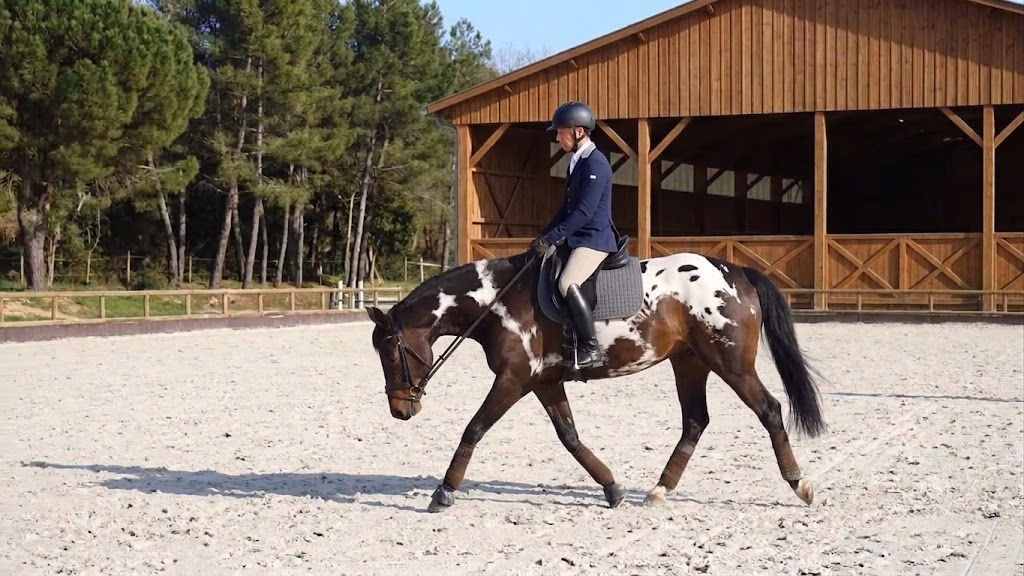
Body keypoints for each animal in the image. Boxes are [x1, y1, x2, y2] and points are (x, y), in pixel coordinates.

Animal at [365, 243, 827, 512]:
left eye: (389, 352)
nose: (400, 410)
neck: (496, 301)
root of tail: (738, 271)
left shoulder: (513, 379)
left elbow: (473, 428)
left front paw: (443, 491)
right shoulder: (543, 382)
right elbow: (570, 437)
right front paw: (612, 488)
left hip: (730, 364)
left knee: (769, 409)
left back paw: (800, 484)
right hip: (690, 362)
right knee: (696, 421)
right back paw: (659, 491)